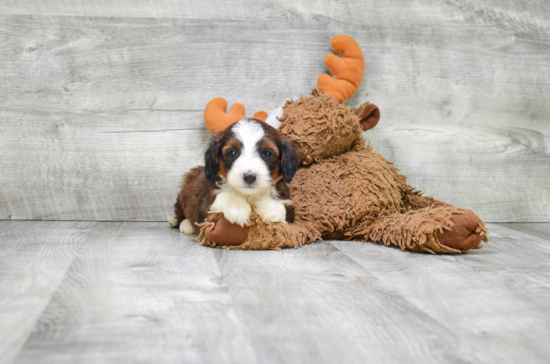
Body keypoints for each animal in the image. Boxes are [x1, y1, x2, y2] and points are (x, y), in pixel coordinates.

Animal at [170, 118, 300, 235]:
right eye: (233, 152)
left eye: (267, 153)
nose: (249, 176)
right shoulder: (204, 206)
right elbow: (220, 195)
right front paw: (237, 208)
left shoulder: (290, 209)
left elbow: (282, 208)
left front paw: (268, 206)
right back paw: (185, 224)